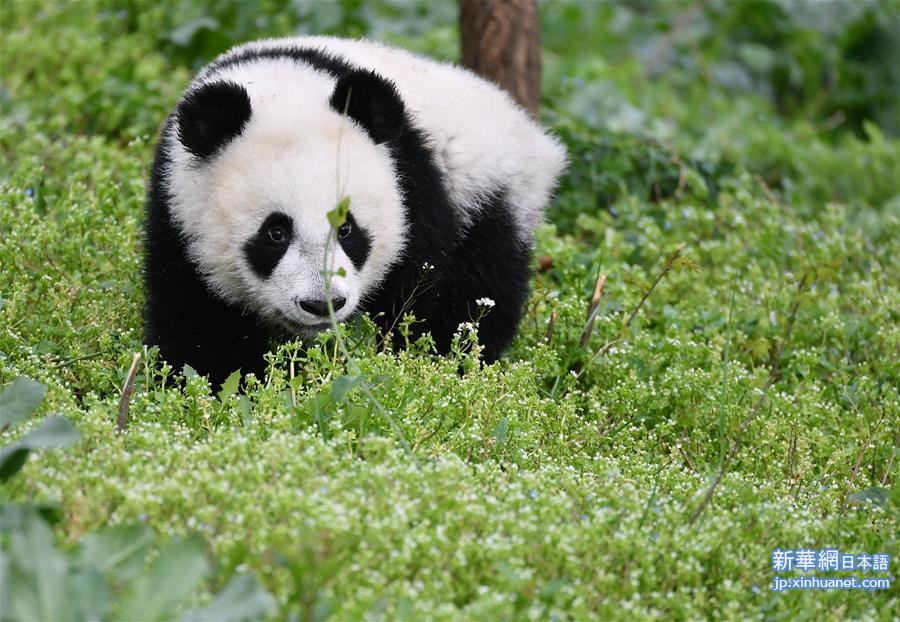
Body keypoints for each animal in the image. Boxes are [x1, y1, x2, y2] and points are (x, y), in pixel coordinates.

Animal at [144, 35, 568, 386]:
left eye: (347, 229)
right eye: (275, 233)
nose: (322, 304)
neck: (279, 88)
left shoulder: (413, 186)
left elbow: (415, 296)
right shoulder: (177, 207)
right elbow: (196, 317)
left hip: (488, 193)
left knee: (480, 288)